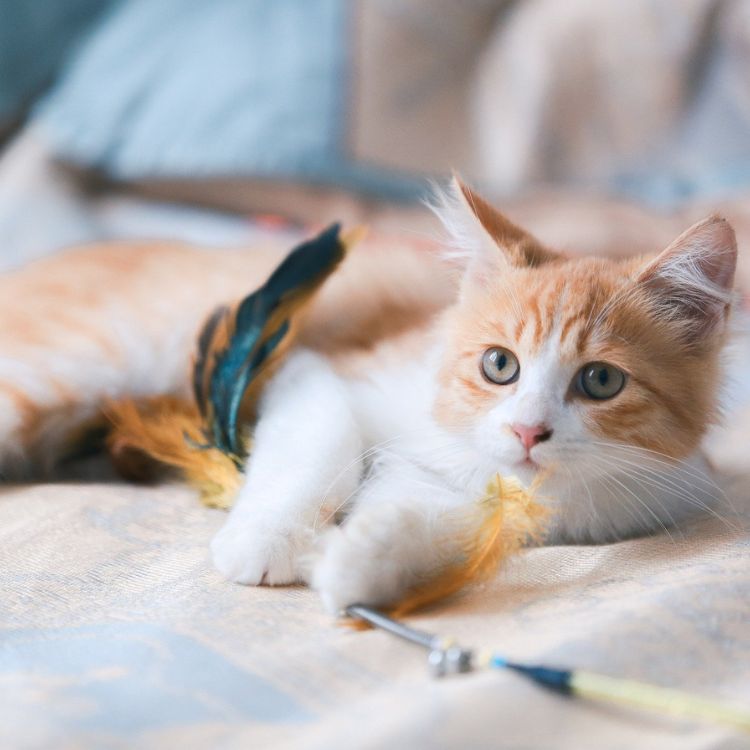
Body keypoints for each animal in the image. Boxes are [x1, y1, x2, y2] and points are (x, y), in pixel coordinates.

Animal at [0, 182, 740, 616]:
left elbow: (441, 522)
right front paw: (266, 540)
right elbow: (317, 449)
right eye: (499, 365)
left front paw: (357, 565)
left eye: (601, 382)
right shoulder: (319, 373)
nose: (529, 432)